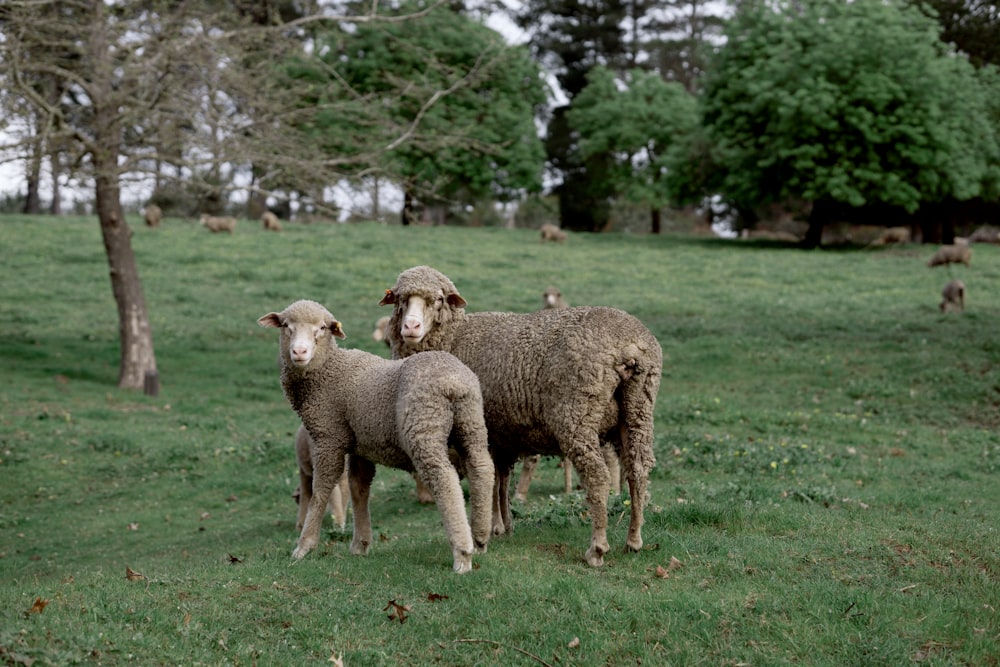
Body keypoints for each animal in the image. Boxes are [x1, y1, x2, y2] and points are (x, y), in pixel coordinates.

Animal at [256, 300, 494, 572]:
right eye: (286, 325)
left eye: (323, 328)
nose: (299, 352)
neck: (329, 370)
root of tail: (454, 383)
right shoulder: (360, 444)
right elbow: (358, 488)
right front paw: (360, 544)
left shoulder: (329, 437)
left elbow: (321, 489)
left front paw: (304, 546)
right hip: (471, 422)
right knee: (482, 468)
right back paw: (480, 538)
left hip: (424, 427)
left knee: (444, 479)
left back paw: (462, 554)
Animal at [376, 266, 664, 568]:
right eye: (401, 299)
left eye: (439, 300)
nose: (411, 327)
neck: (454, 337)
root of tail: (628, 346)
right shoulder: (501, 433)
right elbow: (501, 480)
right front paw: (504, 526)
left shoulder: (482, 430)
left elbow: (489, 480)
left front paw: (490, 530)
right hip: (638, 410)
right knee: (638, 469)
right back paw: (634, 540)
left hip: (577, 413)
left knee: (598, 476)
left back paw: (597, 548)